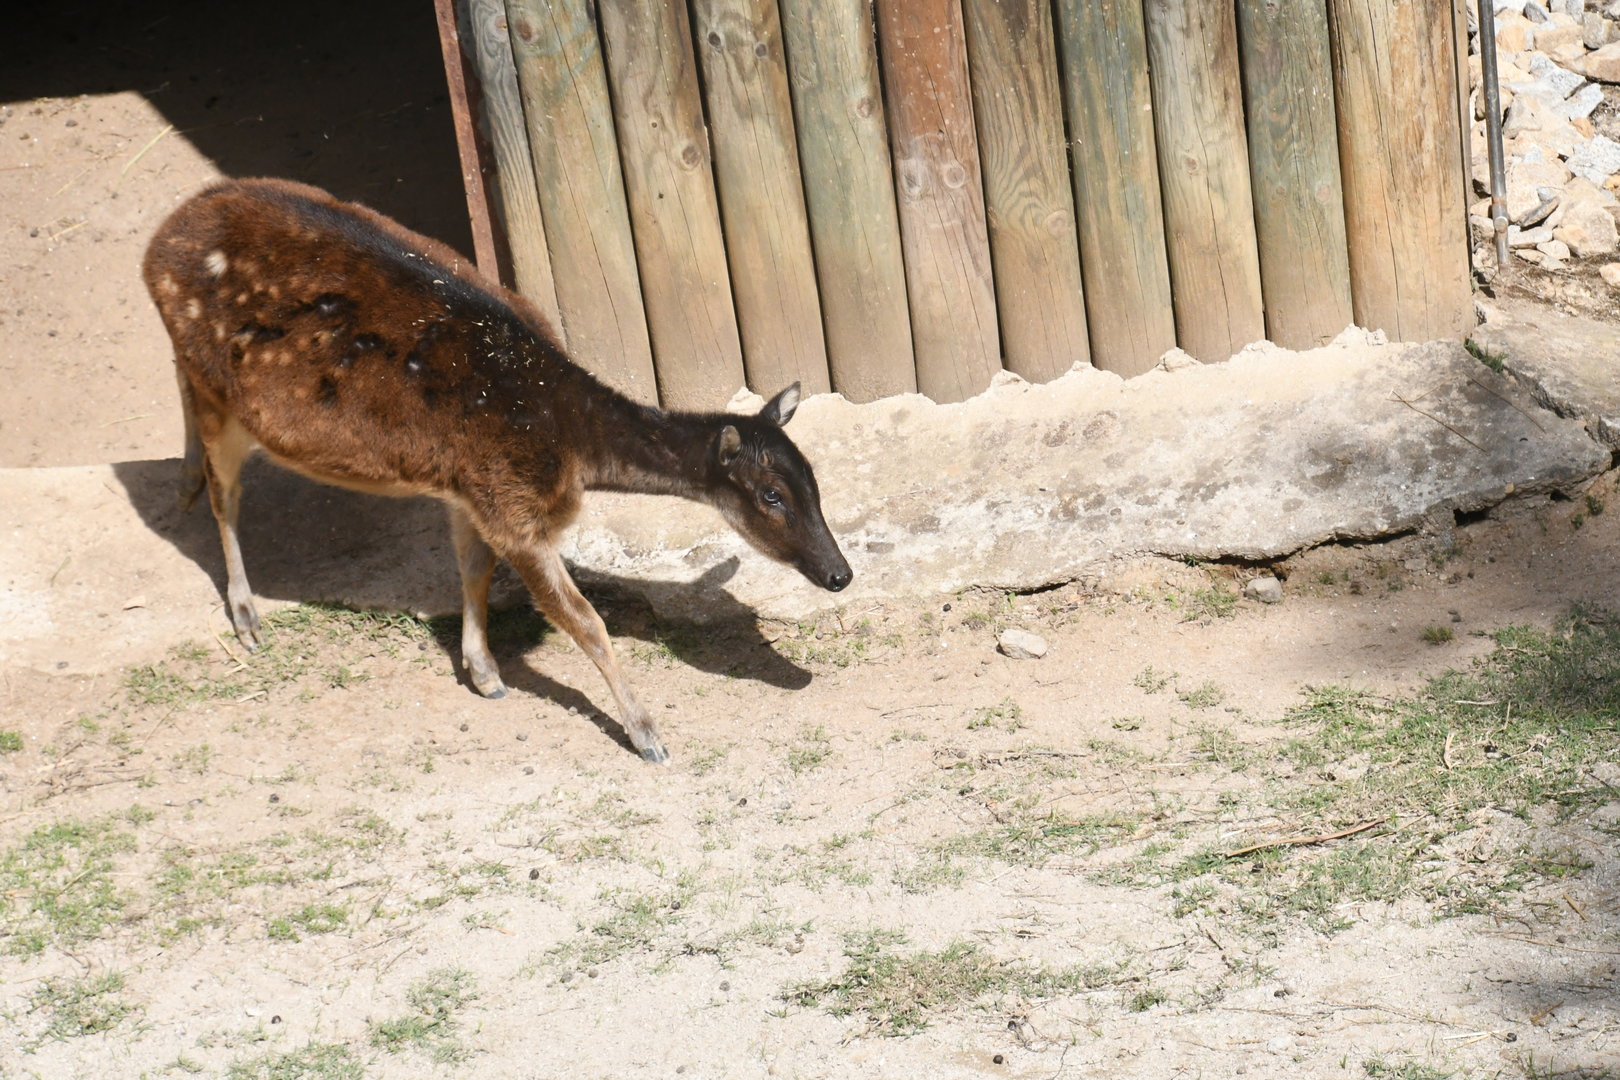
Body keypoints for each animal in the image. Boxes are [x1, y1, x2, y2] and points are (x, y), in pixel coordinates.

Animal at [142, 178, 852, 764]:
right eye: (772, 495)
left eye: (816, 483)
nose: (839, 574)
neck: (570, 442)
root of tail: (156, 243)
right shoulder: (512, 501)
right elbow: (584, 621)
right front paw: (648, 735)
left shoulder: (468, 487)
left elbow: (473, 569)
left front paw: (484, 674)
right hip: (221, 393)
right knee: (226, 494)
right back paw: (245, 614)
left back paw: (184, 485)